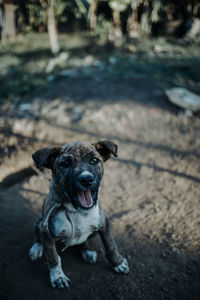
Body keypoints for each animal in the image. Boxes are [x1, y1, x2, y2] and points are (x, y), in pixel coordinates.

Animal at [29, 141, 130, 288]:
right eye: (66, 163)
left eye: (95, 160)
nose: (86, 179)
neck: (75, 211)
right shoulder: (46, 231)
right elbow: (53, 257)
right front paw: (58, 276)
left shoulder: (104, 222)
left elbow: (111, 246)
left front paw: (118, 263)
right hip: (39, 222)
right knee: (38, 236)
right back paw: (36, 248)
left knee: (84, 241)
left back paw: (87, 251)